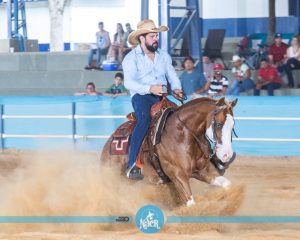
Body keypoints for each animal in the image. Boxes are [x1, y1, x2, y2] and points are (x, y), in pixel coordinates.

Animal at [100, 96, 237, 207]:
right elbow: (191, 202)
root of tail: (109, 143)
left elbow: (227, 185)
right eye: (218, 124)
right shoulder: (178, 175)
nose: (227, 155)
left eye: (232, 125)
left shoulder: (203, 171)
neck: (182, 135)